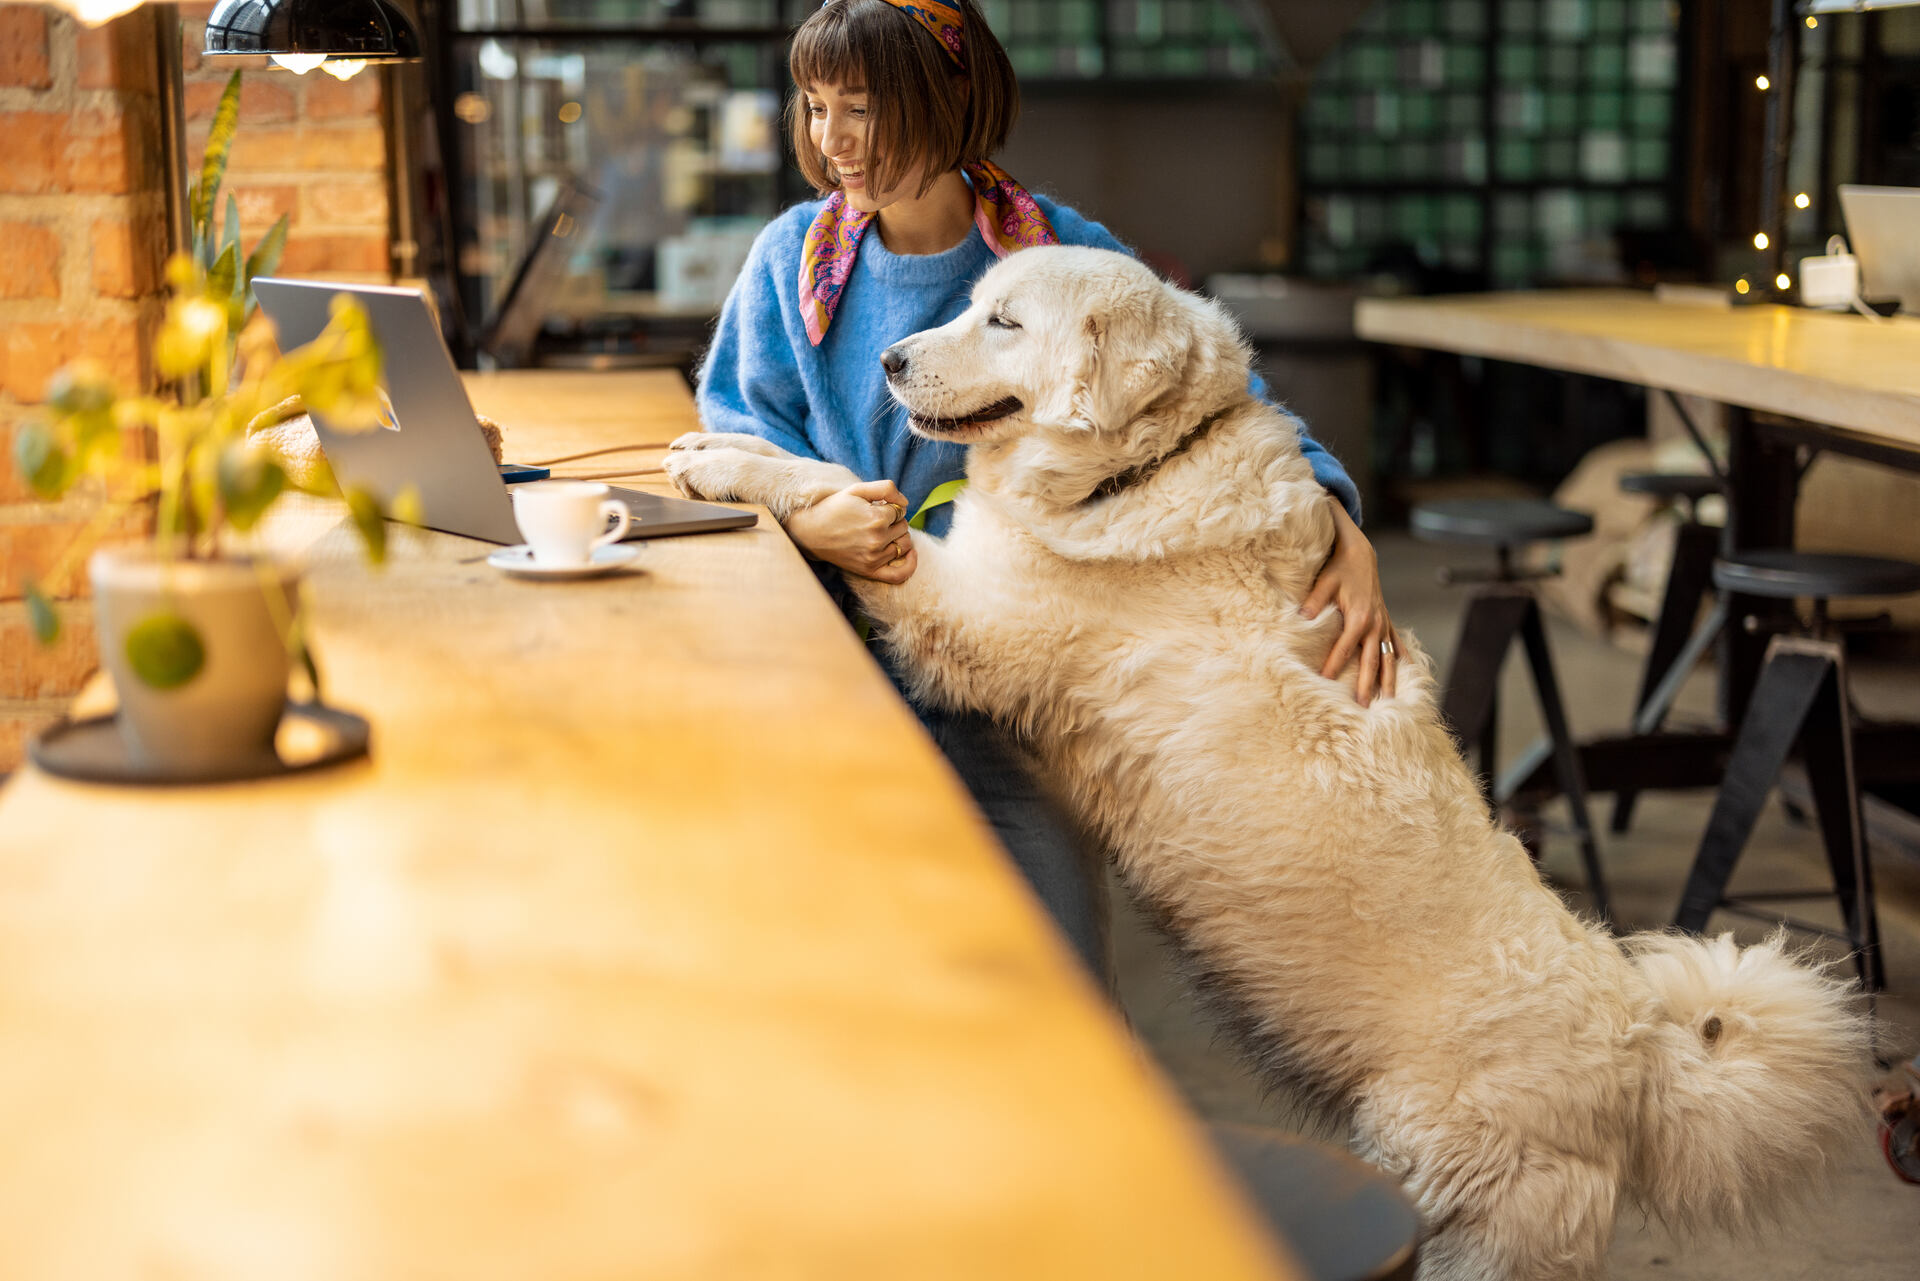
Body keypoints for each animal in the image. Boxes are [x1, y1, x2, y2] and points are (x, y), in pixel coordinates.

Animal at [668, 245, 1866, 1275]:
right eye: (970, 307)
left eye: (1004, 323)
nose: (890, 361)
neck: (1148, 464)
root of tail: (1643, 1052)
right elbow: (817, 459)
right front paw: (719, 448)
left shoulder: (976, 613)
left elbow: (836, 499)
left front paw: (737, 472)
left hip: (1451, 1195)